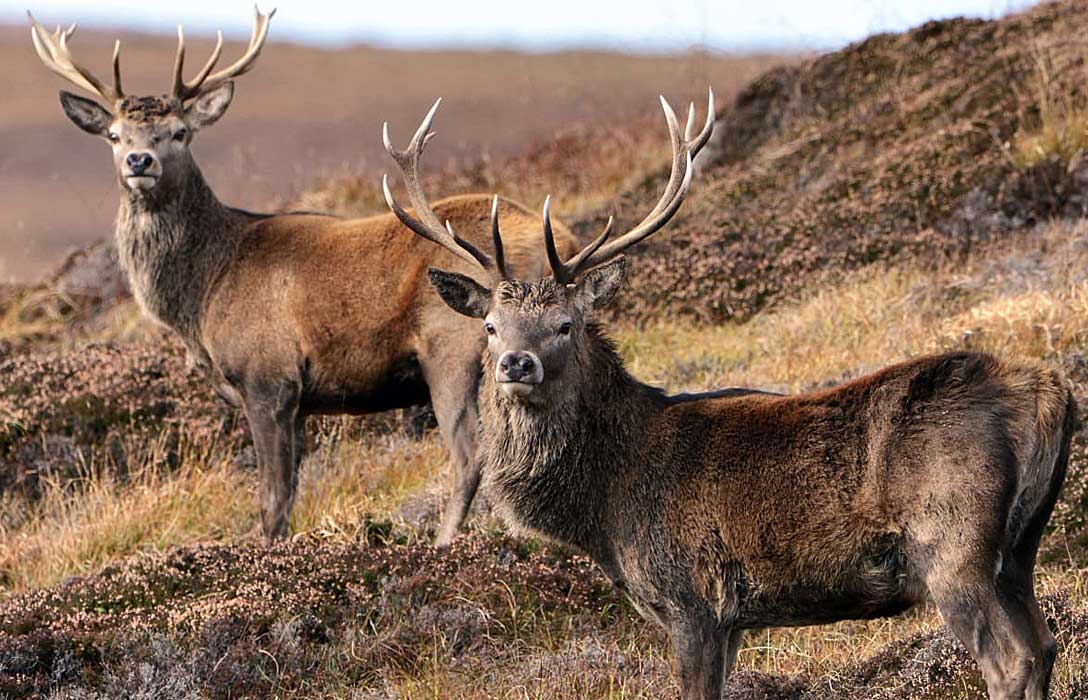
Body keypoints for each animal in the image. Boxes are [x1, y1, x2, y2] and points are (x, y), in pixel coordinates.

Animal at [28, 8, 578, 544]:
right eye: (114, 135)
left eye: (180, 132)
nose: (140, 161)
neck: (204, 292)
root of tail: (561, 240)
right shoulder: (299, 402)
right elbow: (290, 494)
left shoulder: (268, 377)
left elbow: (272, 502)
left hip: (455, 350)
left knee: (470, 454)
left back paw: (443, 543)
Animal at [383, 97, 1076, 700]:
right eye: (490, 325)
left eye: (566, 325)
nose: (515, 364)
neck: (605, 506)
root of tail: (1050, 393)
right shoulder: (736, 619)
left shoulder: (693, 599)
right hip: (1020, 547)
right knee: (1044, 646)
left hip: (953, 540)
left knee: (1010, 660)